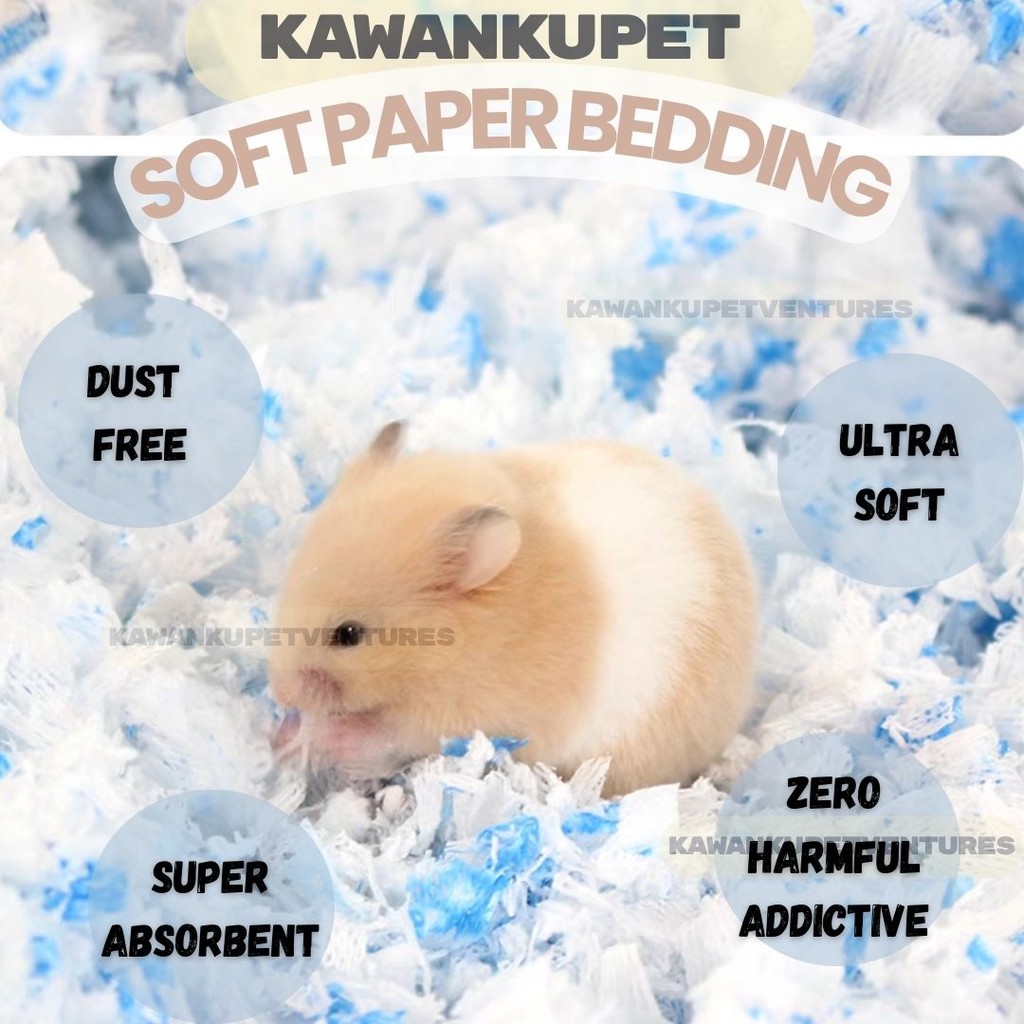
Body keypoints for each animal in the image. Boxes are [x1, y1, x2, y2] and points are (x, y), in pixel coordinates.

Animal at [269, 422, 757, 796]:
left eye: (349, 634)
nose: (280, 694)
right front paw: (283, 736)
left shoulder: (464, 717)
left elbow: (383, 732)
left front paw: (314, 737)